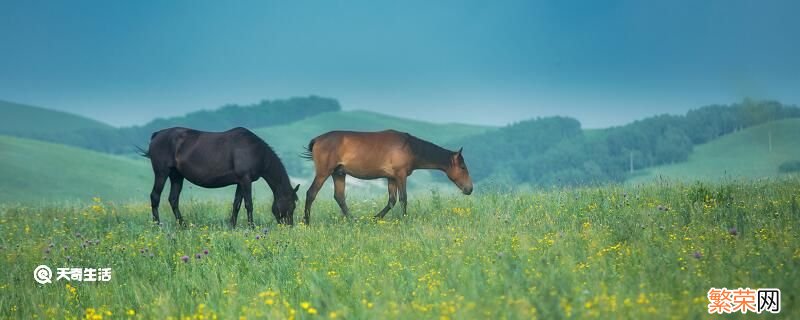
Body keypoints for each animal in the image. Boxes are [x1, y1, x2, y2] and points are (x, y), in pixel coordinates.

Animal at [142, 126, 298, 226]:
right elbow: (249, 204)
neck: (256, 151)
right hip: (162, 173)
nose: (289, 226)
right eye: (292, 205)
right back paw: (157, 225)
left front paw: (232, 226)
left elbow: (236, 204)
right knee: (155, 196)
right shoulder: (246, 180)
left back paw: (183, 225)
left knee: (173, 199)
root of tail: (157, 135)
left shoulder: (240, 182)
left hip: (176, 176)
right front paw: (251, 227)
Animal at [304, 129, 472, 224]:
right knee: (311, 193)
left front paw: (375, 219)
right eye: (463, 167)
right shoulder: (401, 175)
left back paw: (354, 221)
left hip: (338, 173)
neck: (409, 147)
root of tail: (317, 139)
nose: (469, 189)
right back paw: (306, 222)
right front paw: (404, 220)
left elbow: (391, 200)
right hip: (324, 172)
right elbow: (403, 198)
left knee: (339, 197)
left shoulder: (391, 178)